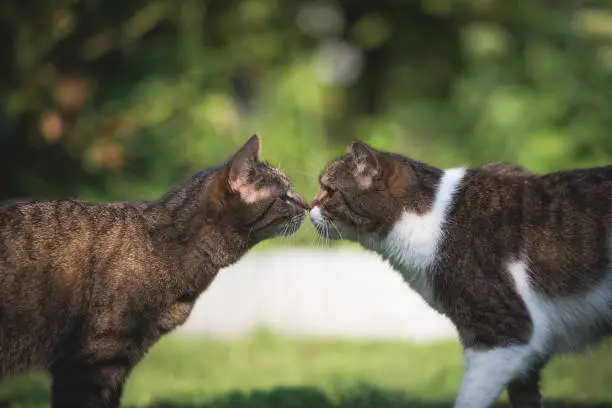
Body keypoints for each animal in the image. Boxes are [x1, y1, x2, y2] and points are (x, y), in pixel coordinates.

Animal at [310, 141, 612, 408]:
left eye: (328, 191)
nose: (308, 205)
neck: (433, 220)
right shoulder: (527, 356)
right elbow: (525, 397)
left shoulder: (504, 333)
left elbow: (470, 398)